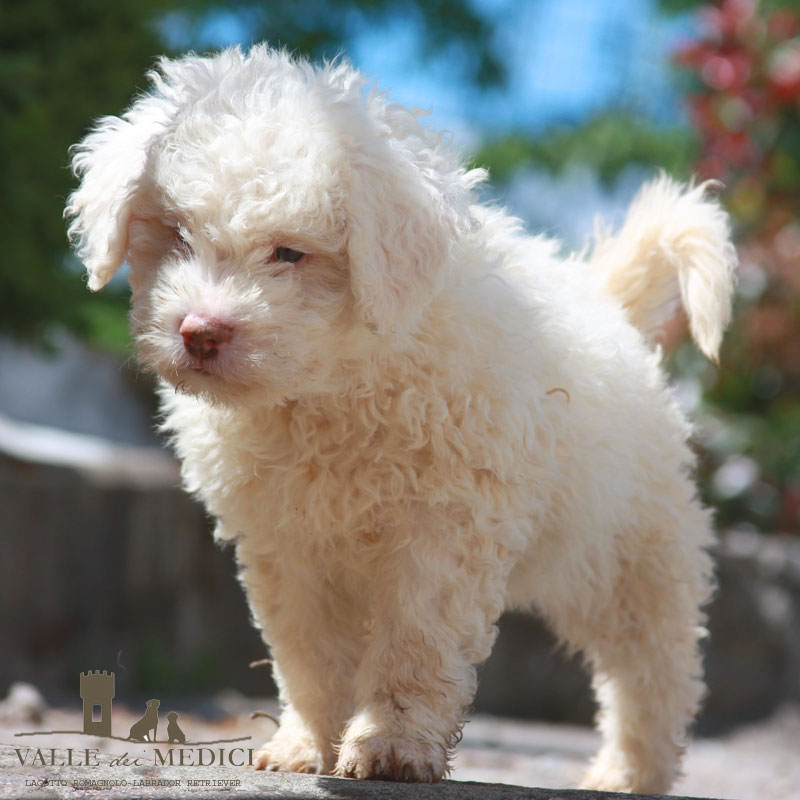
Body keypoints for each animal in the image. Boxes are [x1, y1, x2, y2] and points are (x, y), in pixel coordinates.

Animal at [67, 47, 736, 796]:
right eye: (179, 235)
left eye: (289, 253)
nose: (200, 332)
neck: (331, 391)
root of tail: (606, 306)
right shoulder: (286, 545)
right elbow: (307, 653)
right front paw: (309, 744)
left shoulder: (443, 530)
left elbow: (416, 643)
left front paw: (390, 746)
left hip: (629, 554)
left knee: (652, 665)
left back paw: (630, 771)